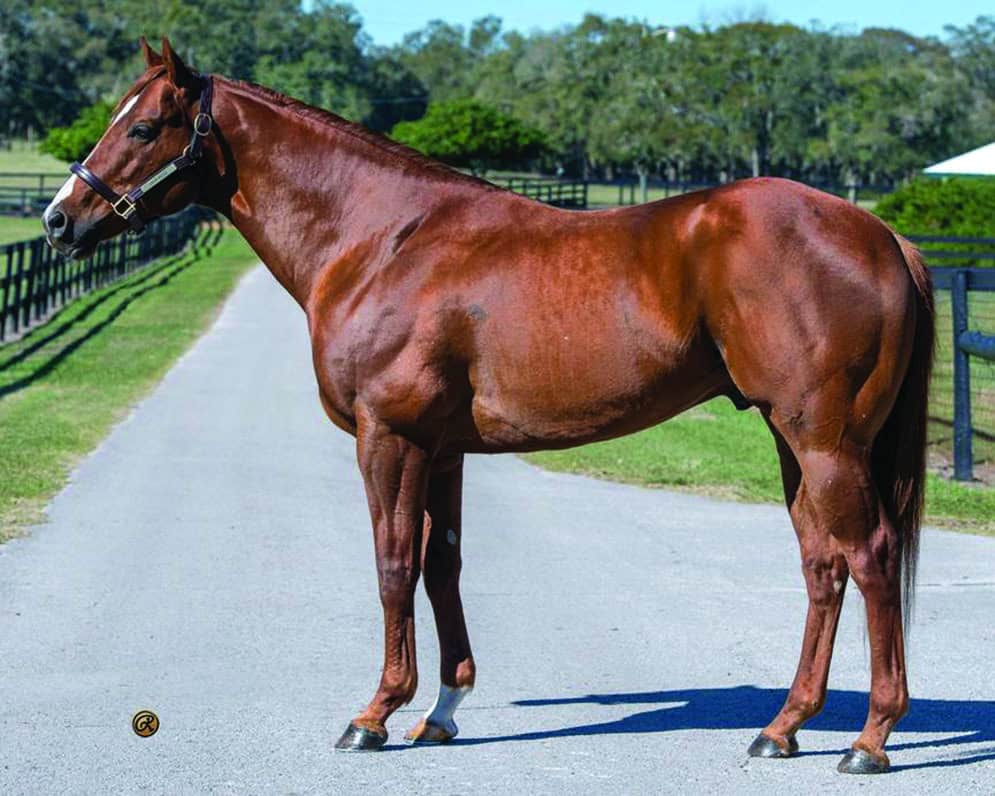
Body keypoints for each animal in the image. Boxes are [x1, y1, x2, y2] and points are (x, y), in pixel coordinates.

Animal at [43, 38, 934, 775]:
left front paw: (374, 714)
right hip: (794, 441)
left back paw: (869, 739)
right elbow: (443, 565)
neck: (382, 241)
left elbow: (393, 565)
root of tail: (882, 235)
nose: (59, 220)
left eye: (145, 127)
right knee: (822, 565)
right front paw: (441, 711)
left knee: (870, 557)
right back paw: (782, 727)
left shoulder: (389, 437)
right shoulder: (442, 449)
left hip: (824, 442)